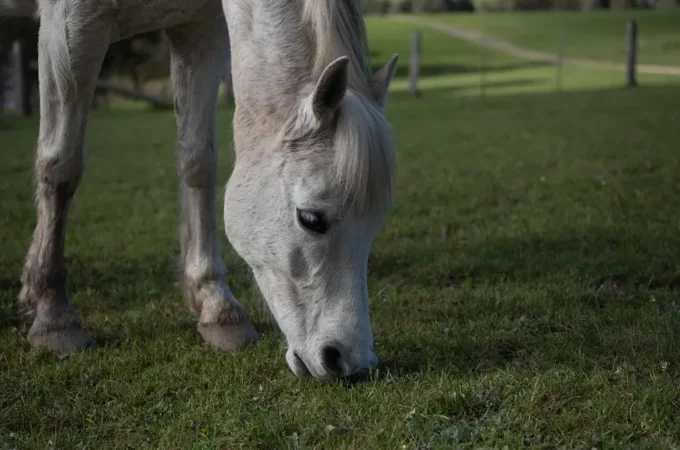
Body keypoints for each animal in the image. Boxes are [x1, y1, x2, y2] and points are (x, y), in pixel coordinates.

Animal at [2, 0, 399, 384]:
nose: (351, 362)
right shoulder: (69, 26)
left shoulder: (200, 31)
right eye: (311, 219)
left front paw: (216, 305)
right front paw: (54, 315)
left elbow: (197, 162)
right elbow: (61, 166)